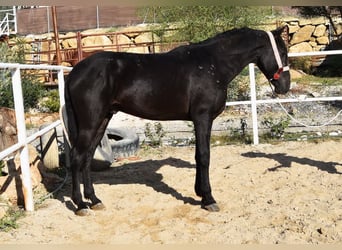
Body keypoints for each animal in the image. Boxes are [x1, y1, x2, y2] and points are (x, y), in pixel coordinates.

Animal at [65, 26, 292, 216]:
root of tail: (75, 72)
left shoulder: (198, 120)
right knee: (77, 157)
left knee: (87, 157)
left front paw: (200, 193)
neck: (213, 63)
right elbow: (204, 156)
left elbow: (198, 155)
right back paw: (81, 204)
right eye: (283, 53)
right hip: (90, 122)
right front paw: (208, 199)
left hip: (102, 119)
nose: (285, 86)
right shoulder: (203, 117)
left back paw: (94, 200)